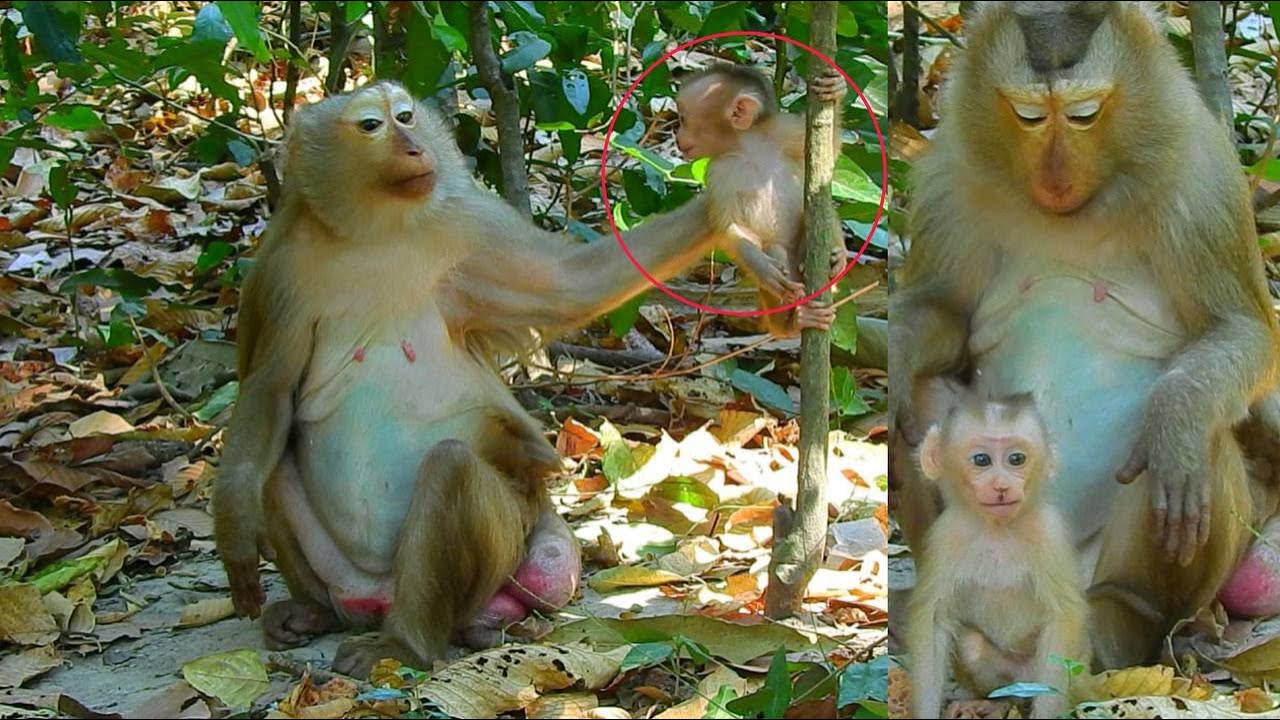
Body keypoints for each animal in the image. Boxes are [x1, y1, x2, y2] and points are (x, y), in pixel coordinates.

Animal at [213, 81, 719, 676]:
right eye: (372, 126)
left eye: (406, 116)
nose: (414, 147)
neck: (375, 233)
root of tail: (377, 597)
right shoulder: (279, 269)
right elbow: (269, 391)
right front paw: (235, 526)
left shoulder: (470, 224)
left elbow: (575, 287)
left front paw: (729, 202)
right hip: (345, 578)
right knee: (273, 463)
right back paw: (313, 612)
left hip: (502, 548)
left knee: (451, 467)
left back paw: (411, 641)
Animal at [674, 64, 848, 336]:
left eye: (683, 119)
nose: (677, 137)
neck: (748, 148)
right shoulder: (719, 171)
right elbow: (731, 226)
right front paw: (763, 267)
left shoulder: (782, 131)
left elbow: (831, 148)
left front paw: (835, 89)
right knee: (776, 250)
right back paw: (795, 321)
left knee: (822, 211)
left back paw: (836, 259)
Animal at [889, 1, 1280, 668]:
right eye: (1027, 115)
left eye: (1084, 114)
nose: (1056, 174)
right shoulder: (946, 176)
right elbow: (944, 310)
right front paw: (900, 353)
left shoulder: (1201, 178)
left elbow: (1242, 329)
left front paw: (1178, 417)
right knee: (925, 406)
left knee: (1187, 446)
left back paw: (1124, 621)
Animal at [908, 382, 1088, 719]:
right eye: (982, 460)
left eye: (1017, 459)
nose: (1002, 486)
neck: (997, 531)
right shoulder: (945, 536)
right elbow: (933, 620)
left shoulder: (1049, 533)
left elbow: (1064, 617)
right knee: (972, 646)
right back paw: (994, 703)